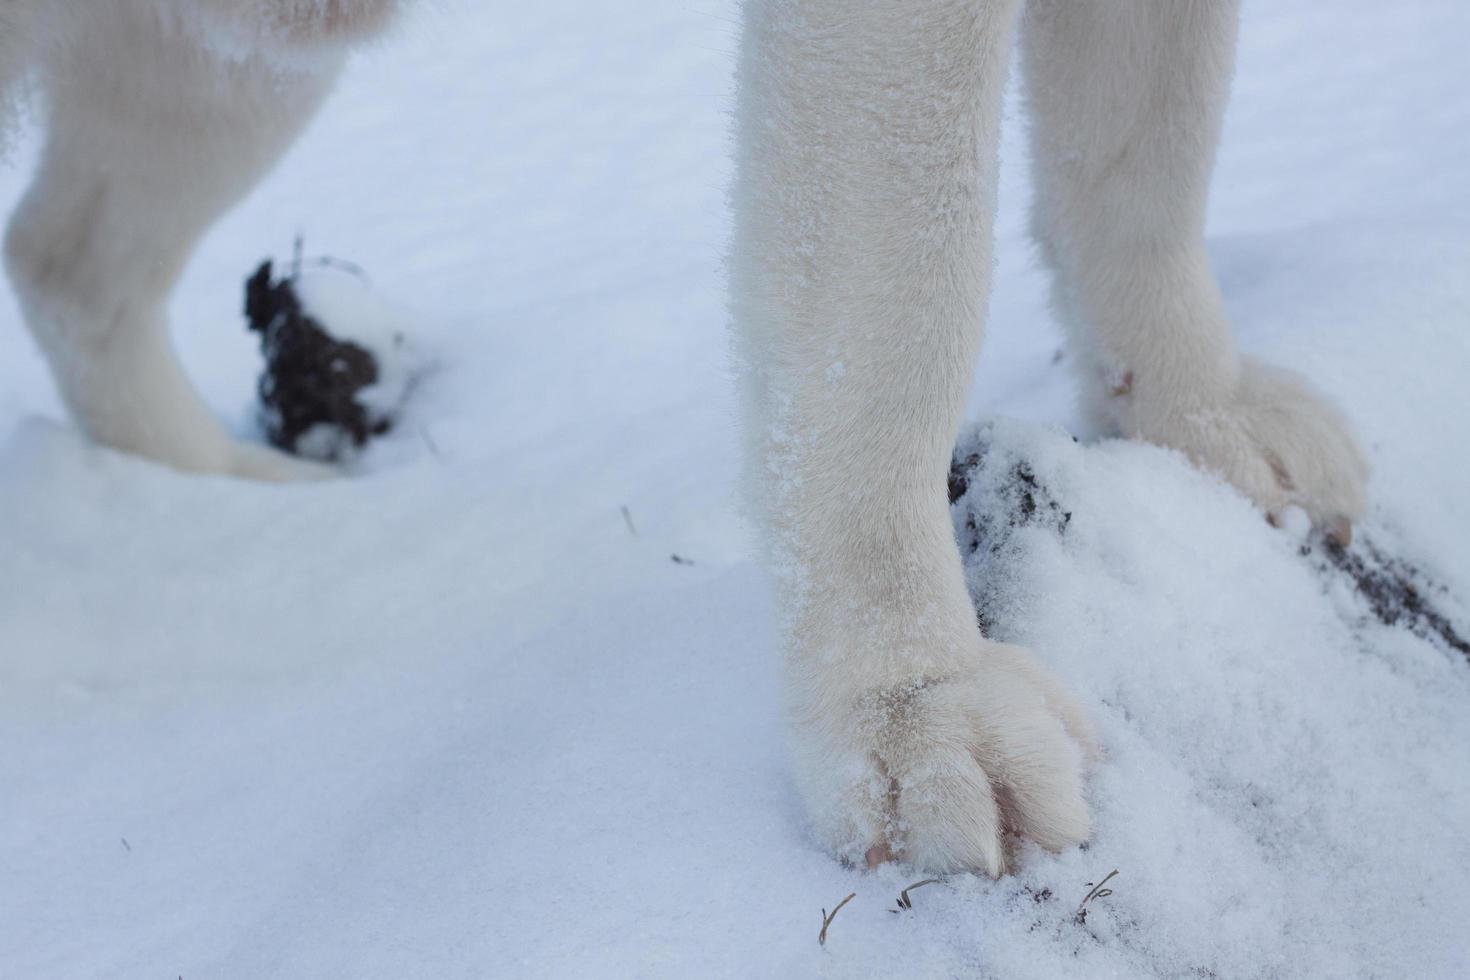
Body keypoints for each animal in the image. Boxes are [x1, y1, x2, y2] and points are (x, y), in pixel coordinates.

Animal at [0, 0, 1364, 875]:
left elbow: (1151, 140)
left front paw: (1191, 414)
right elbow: (900, 292)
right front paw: (908, 698)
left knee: (72, 264)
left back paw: (235, 499)